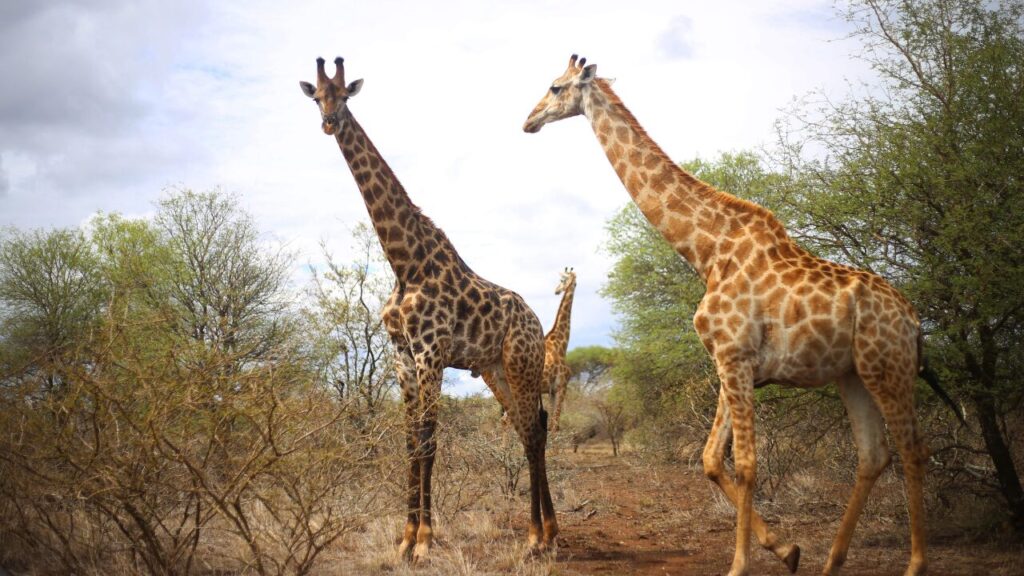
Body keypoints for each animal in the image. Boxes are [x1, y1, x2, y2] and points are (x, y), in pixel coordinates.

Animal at [299, 57, 557, 561]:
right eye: (316, 96)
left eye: (344, 95)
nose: (328, 122)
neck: (405, 262)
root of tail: (537, 324)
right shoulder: (402, 356)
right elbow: (409, 444)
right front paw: (404, 538)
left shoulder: (431, 353)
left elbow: (429, 442)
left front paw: (424, 541)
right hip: (497, 369)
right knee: (528, 428)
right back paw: (550, 531)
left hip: (522, 363)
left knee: (535, 432)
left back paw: (537, 537)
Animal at [522, 54, 959, 576]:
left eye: (555, 87)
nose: (528, 120)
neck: (708, 251)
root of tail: (914, 321)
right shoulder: (733, 361)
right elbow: (712, 459)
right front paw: (788, 550)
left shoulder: (735, 356)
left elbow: (746, 463)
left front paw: (741, 564)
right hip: (852, 374)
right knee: (874, 454)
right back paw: (832, 562)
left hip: (887, 368)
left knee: (915, 449)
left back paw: (914, 564)